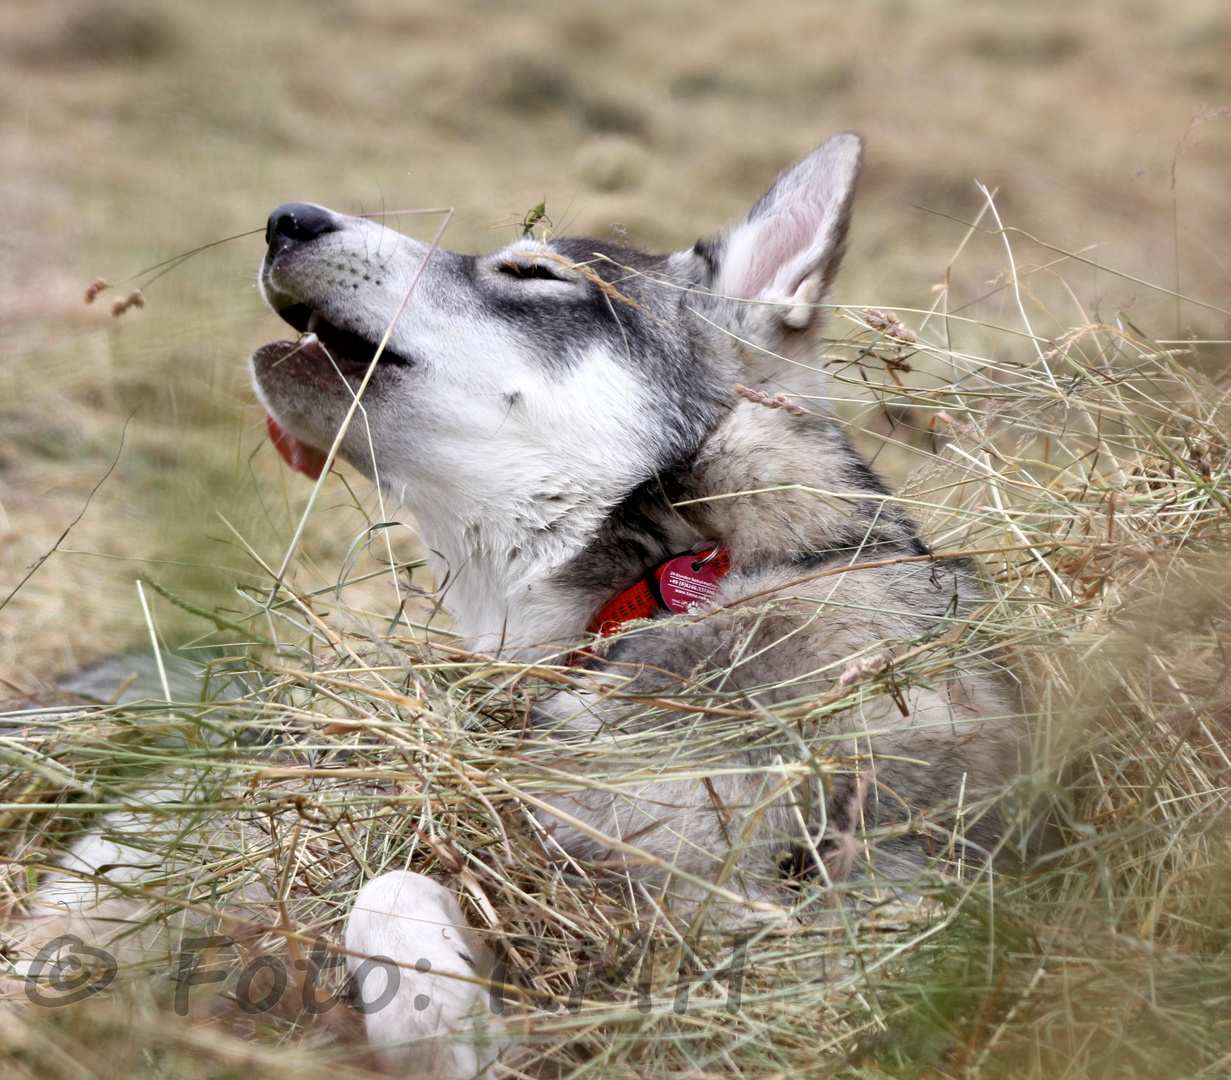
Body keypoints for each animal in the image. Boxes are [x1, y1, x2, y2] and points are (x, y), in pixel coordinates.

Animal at [247, 132, 1019, 1068]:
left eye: (532, 272)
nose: (284, 219)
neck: (686, 568)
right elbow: (397, 890)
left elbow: (390, 887)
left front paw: (433, 1034)